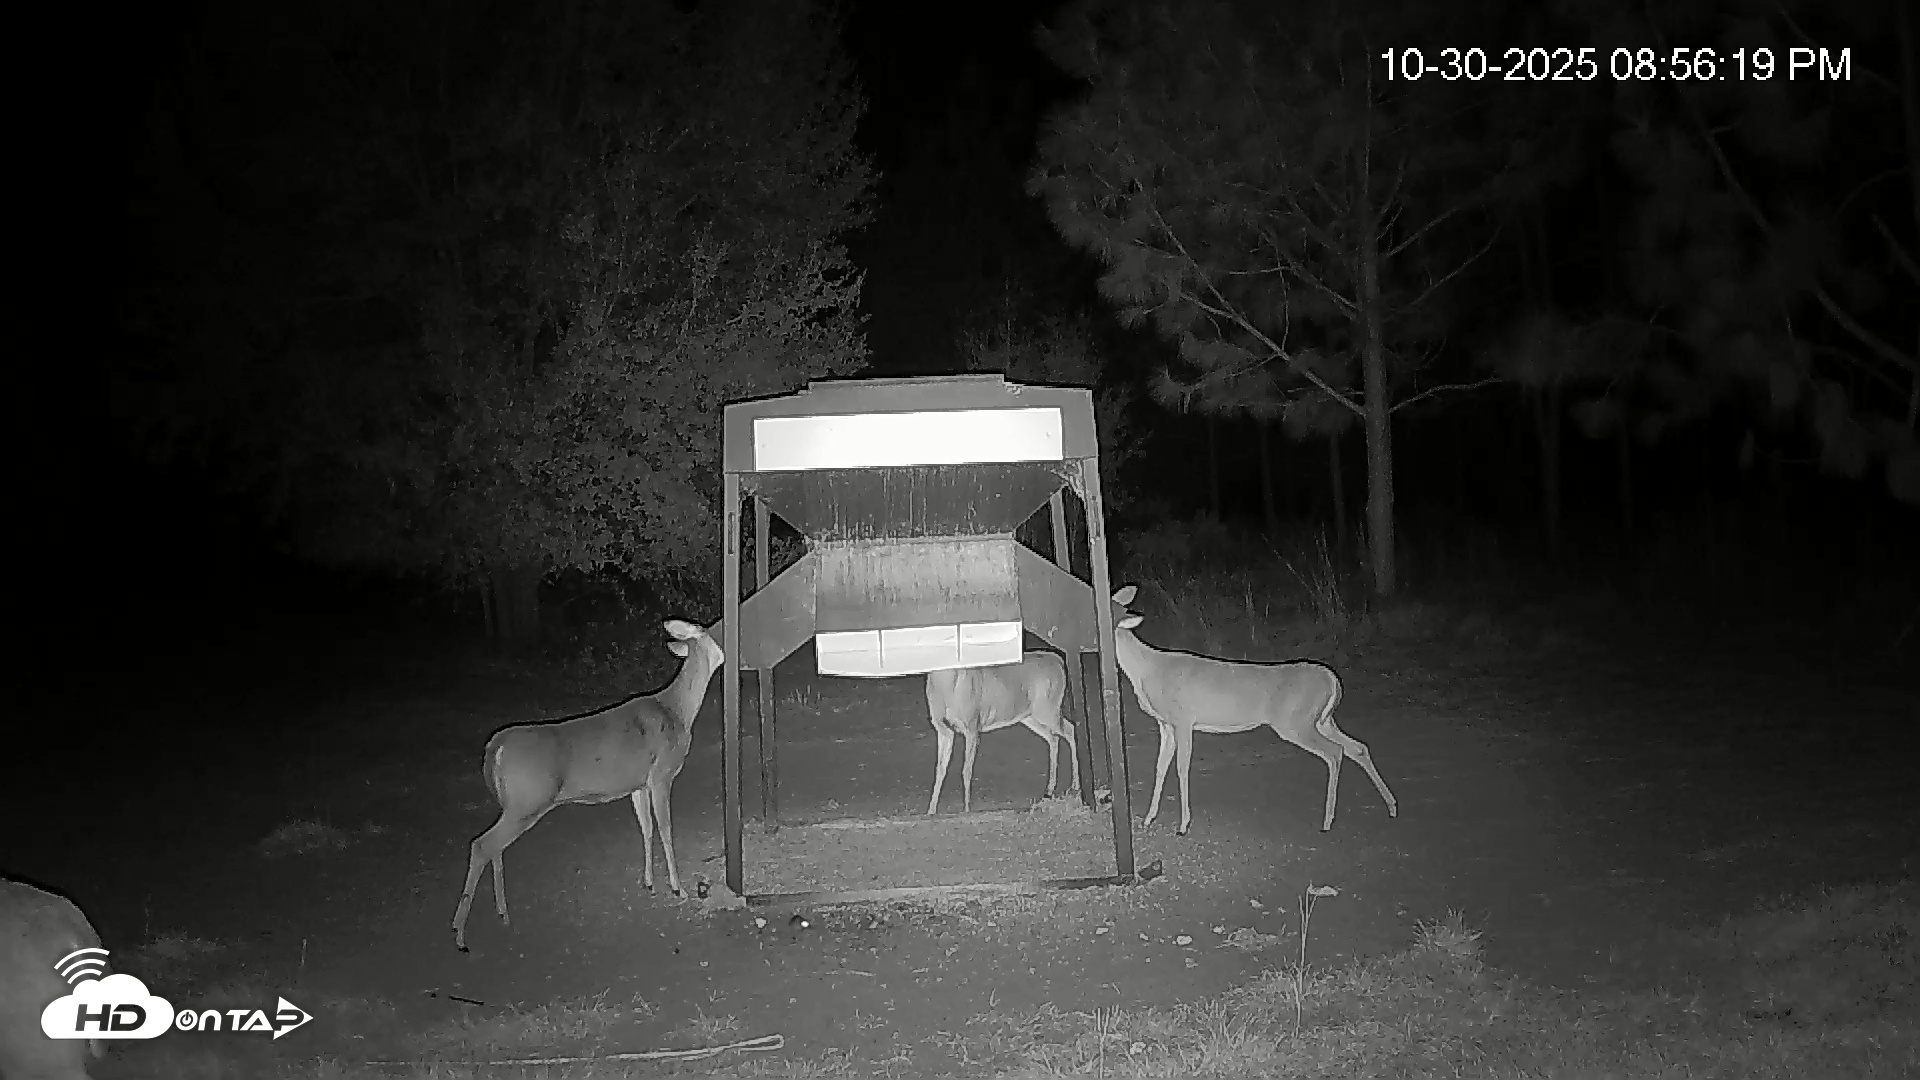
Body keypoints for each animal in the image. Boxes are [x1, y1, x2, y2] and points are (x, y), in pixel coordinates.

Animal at [452, 618, 724, 951]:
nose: (721, 629)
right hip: (528, 801)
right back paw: (461, 933)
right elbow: (666, 829)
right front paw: (678, 888)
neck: (678, 711)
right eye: (703, 628)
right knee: (482, 844)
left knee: (494, 846)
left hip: (516, 805)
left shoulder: (638, 784)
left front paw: (649, 882)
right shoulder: (662, 774)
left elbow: (646, 828)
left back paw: (502, 913)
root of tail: (496, 746)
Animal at [924, 651, 1080, 814]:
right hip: (1030, 715)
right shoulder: (943, 730)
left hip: (1048, 708)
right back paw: (1049, 789)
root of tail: (1058, 659)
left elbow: (966, 770)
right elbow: (940, 769)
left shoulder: (972, 726)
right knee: (1053, 738)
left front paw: (967, 809)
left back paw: (1075, 785)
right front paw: (931, 811)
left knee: (1070, 729)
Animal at [1108, 585, 1398, 835]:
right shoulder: (1165, 724)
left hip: (1295, 722)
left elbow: (1181, 767)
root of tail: (1332, 680)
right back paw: (1391, 806)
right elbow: (1160, 767)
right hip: (1322, 720)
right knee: (1357, 747)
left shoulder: (1183, 718)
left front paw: (1183, 825)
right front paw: (1148, 818)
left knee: (1335, 752)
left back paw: (1327, 821)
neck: (1146, 670)